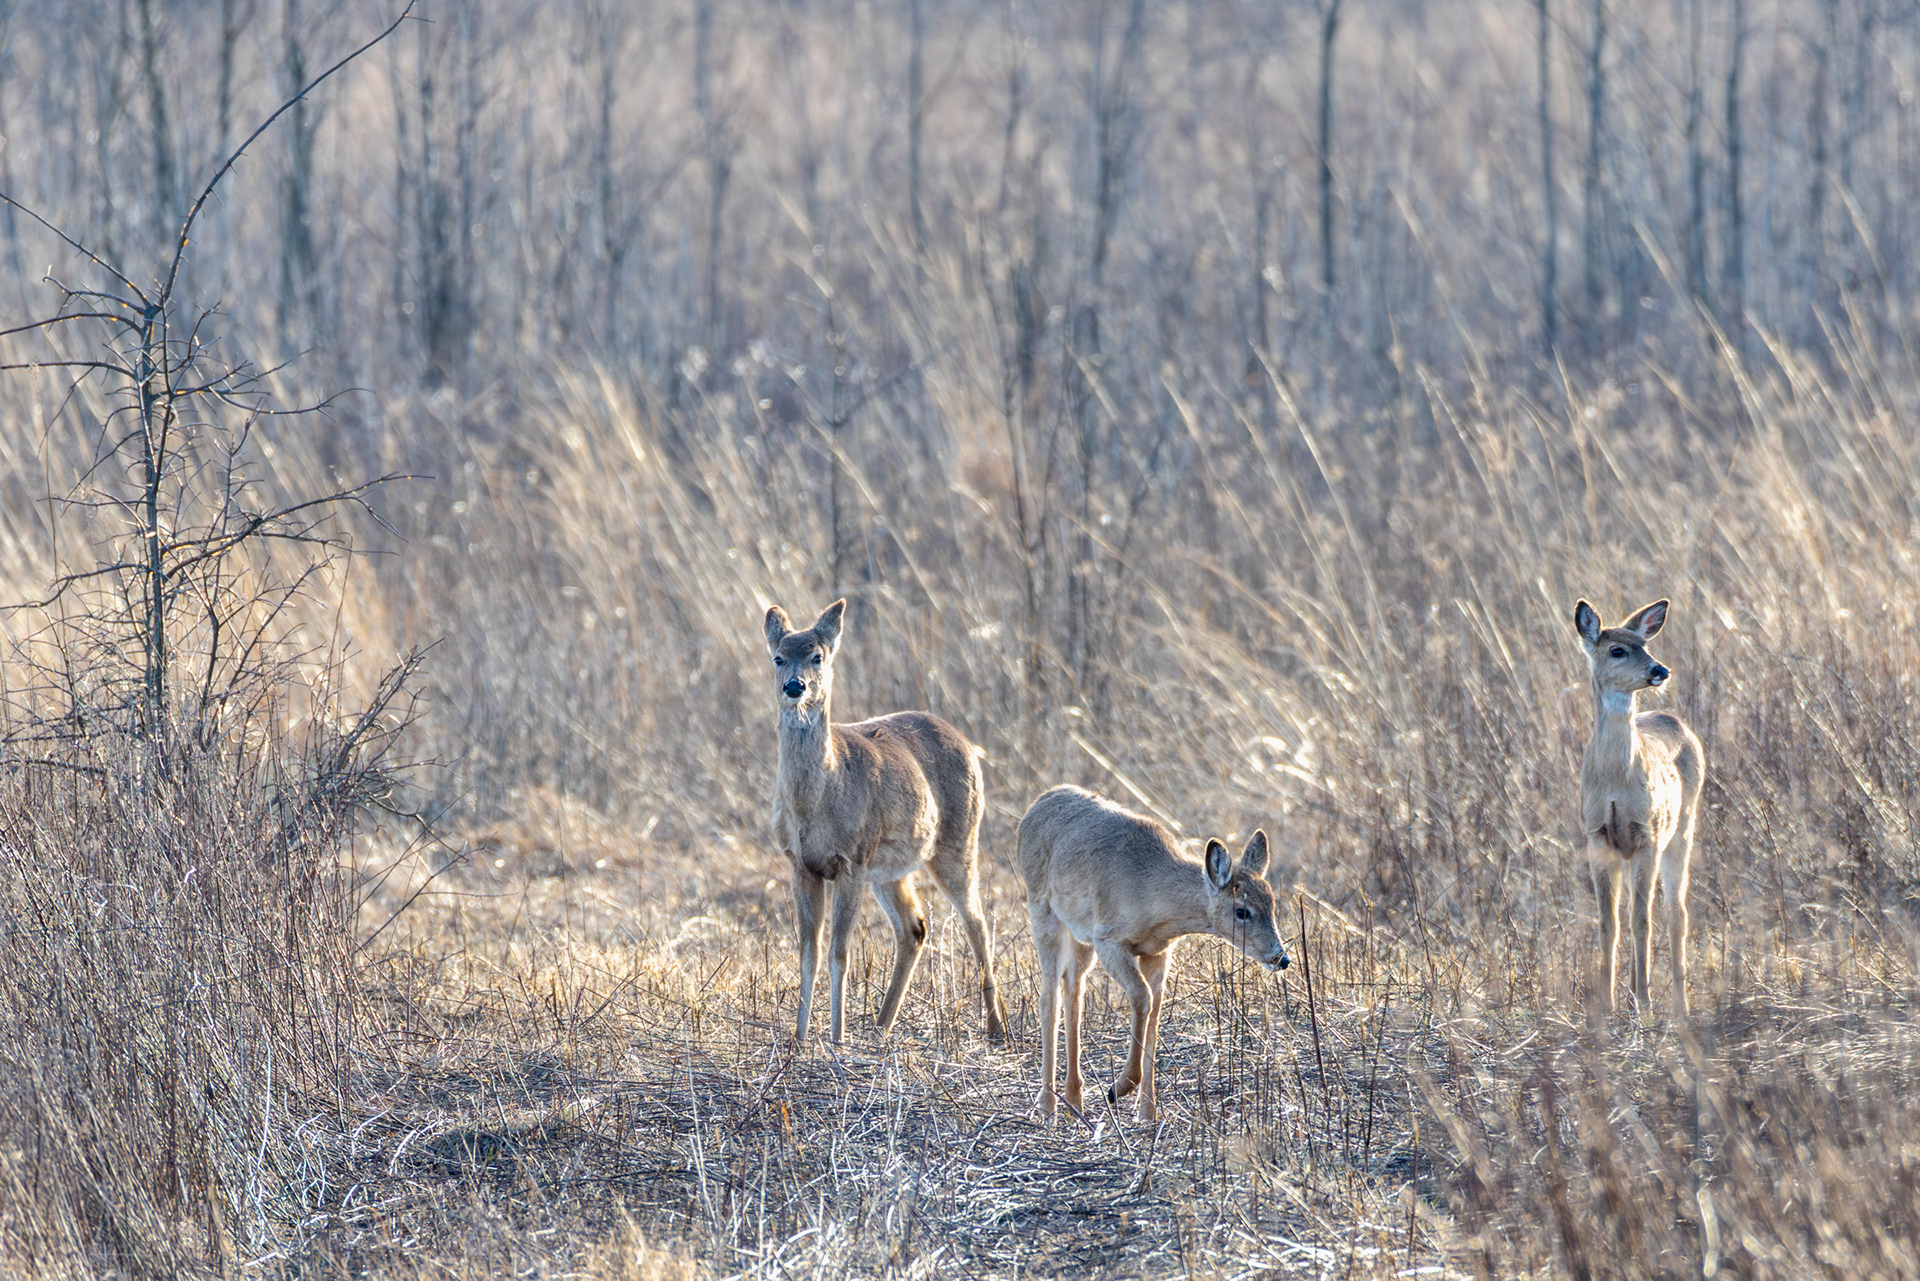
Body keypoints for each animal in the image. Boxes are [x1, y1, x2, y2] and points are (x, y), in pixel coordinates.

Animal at [763, 599, 1008, 1046]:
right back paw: (881, 1025)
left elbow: (839, 952)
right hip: (893, 868)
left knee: (977, 921)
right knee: (915, 927)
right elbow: (808, 952)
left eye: (817, 656)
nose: (794, 686)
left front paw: (838, 1037)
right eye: (778, 657)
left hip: (958, 840)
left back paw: (998, 1029)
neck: (817, 801)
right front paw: (800, 1038)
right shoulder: (799, 864)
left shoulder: (852, 859)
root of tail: (967, 742)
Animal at [1018, 785, 1290, 1123]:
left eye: (1272, 903)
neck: (1153, 895)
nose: (1281, 957)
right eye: (1242, 911)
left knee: (1073, 992)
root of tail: (1037, 805)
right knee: (1049, 996)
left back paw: (1074, 1100)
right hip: (1042, 909)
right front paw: (1119, 1088)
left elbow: (1155, 1013)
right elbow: (1141, 997)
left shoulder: (1158, 952)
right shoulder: (1108, 938)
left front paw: (1148, 1110)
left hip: (1079, 934)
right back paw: (1047, 1104)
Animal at [1573, 598, 1705, 1019]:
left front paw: (1644, 1002)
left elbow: (1642, 920)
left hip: (1681, 828)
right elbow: (1608, 923)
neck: (1616, 782)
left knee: (1676, 912)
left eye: (1645, 645)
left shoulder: (1647, 832)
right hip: (1630, 852)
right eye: (1617, 650)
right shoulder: (1598, 835)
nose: (1660, 670)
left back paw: (1679, 1005)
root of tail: (1674, 719)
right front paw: (1606, 1004)